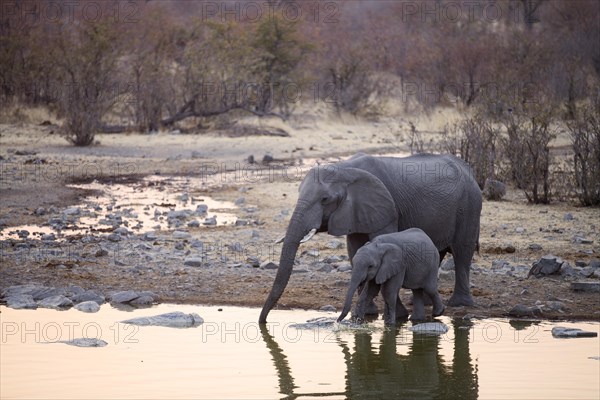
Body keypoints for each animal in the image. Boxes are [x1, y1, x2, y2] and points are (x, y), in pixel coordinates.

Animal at [258, 152, 482, 324]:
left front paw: (394, 316)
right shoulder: (354, 211)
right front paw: (368, 313)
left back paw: (459, 303)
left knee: (462, 252)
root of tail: (470, 171)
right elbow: (354, 249)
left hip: (470, 205)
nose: (263, 322)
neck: (345, 169)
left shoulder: (385, 207)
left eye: (325, 199)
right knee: (439, 252)